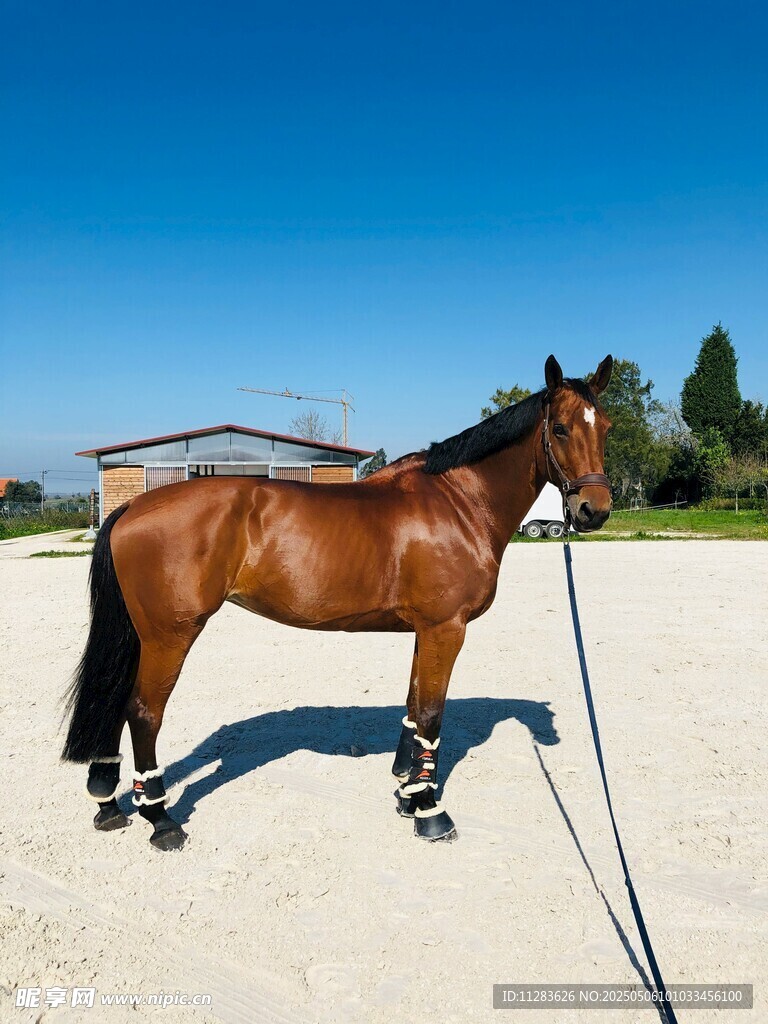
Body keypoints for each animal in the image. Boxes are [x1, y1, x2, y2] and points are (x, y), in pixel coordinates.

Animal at [62, 354, 613, 850]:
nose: (594, 510)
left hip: (142, 635)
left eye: (605, 428)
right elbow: (432, 715)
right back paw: (160, 819)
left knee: (115, 698)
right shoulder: (446, 628)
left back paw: (108, 802)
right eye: (560, 428)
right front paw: (430, 812)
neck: (458, 503)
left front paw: (408, 792)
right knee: (143, 712)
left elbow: (414, 707)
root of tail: (134, 505)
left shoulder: (426, 631)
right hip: (170, 635)